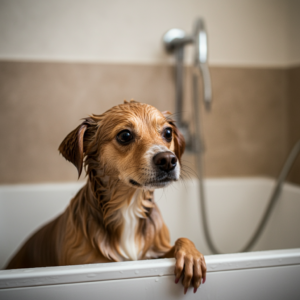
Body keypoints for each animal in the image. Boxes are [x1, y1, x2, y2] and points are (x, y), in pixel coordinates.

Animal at [5, 100, 206, 292]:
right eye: (125, 135)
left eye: (168, 132)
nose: (168, 160)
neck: (129, 206)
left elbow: (183, 239)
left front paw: (192, 256)